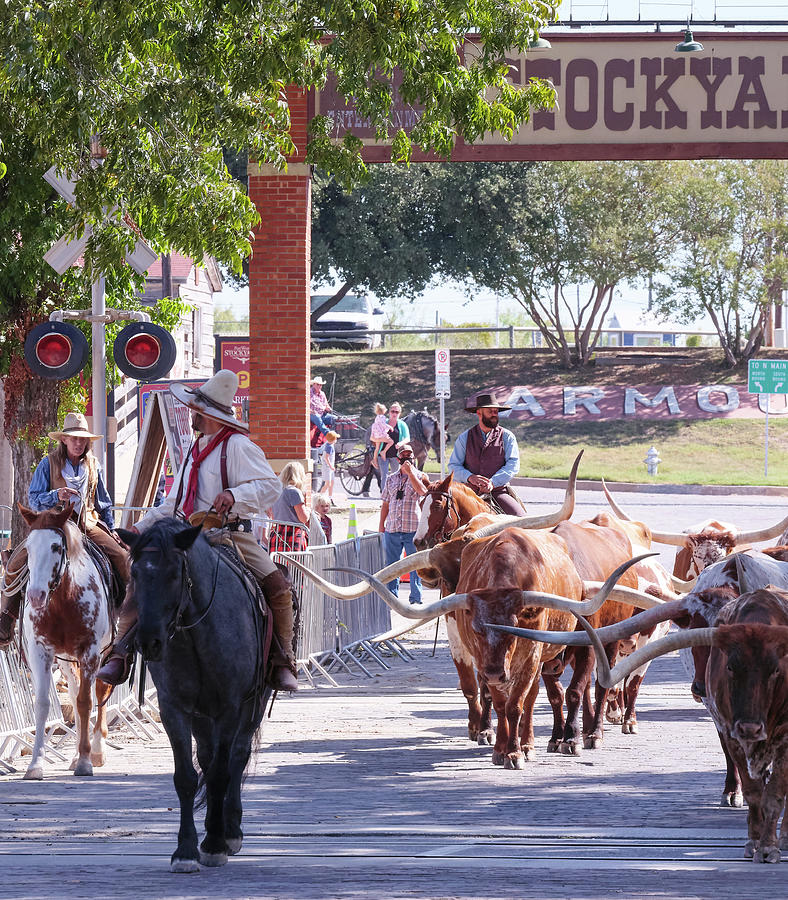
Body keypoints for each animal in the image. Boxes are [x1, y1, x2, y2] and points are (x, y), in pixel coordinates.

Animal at [19, 502, 113, 776]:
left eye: (56, 547)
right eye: (28, 547)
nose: (36, 595)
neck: (62, 602)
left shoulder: (91, 651)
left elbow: (85, 702)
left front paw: (85, 760)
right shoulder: (40, 651)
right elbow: (43, 704)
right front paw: (36, 764)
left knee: (99, 692)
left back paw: (96, 750)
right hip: (67, 661)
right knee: (73, 692)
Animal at [118, 516, 272, 876]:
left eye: (174, 574)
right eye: (135, 574)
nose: (148, 642)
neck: (195, 632)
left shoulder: (230, 708)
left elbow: (219, 773)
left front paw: (214, 844)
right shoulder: (174, 708)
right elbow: (187, 777)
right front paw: (186, 850)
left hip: (254, 704)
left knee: (237, 757)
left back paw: (230, 831)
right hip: (203, 717)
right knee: (206, 755)